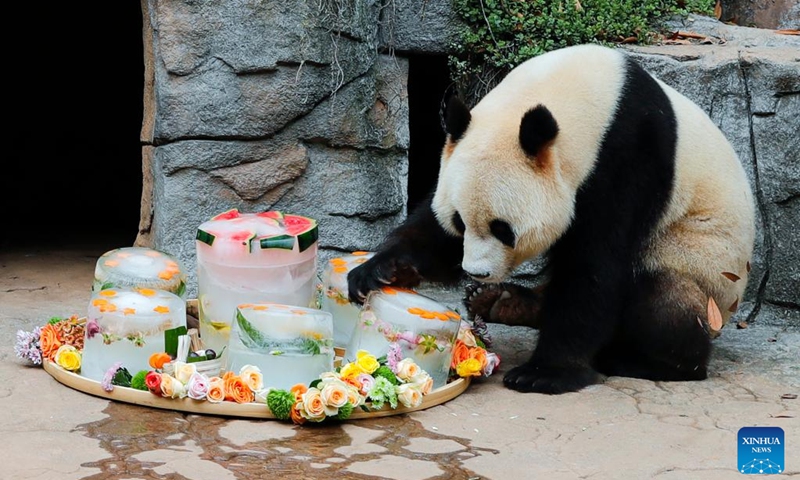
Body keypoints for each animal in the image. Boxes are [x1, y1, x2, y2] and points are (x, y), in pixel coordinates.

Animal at [347, 44, 755, 394]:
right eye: (461, 222)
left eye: (503, 229)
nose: (477, 272)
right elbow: (433, 229)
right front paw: (381, 271)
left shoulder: (629, 159)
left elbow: (596, 265)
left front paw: (545, 373)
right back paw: (501, 301)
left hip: (701, 267)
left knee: (663, 293)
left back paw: (648, 361)